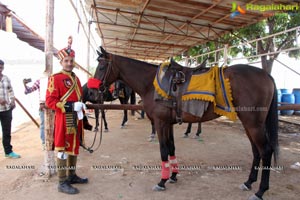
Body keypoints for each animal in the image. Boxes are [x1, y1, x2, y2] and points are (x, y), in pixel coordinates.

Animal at [90, 47, 278, 200]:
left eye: (102, 67)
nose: (93, 91)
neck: (152, 83)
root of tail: (267, 75)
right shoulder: (169, 124)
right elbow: (171, 148)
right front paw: (173, 176)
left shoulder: (160, 123)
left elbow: (163, 150)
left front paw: (162, 181)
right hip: (248, 124)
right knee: (256, 151)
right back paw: (248, 182)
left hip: (254, 124)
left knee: (266, 151)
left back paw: (260, 191)